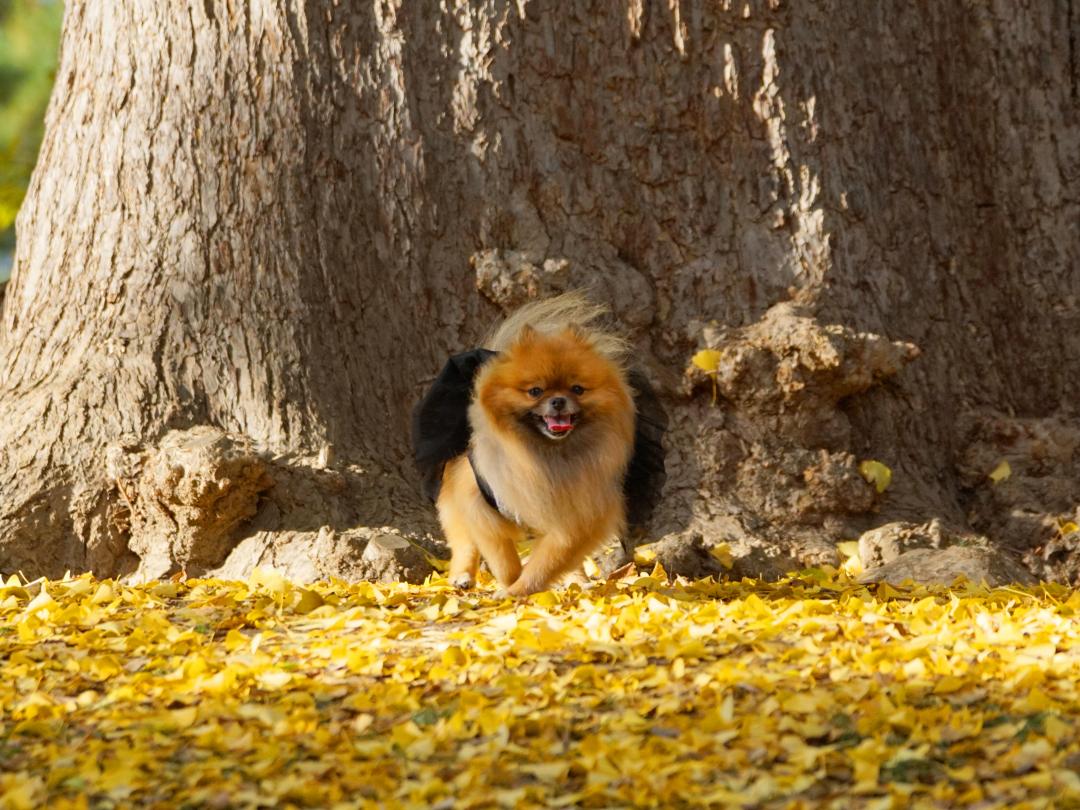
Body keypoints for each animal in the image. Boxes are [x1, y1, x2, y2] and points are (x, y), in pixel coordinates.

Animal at [414, 295, 665, 600]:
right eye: (535, 391)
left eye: (578, 389)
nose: (558, 401)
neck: (540, 456)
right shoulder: (478, 502)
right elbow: (501, 556)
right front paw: (510, 585)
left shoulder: (576, 516)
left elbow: (549, 561)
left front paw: (522, 589)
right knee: (462, 539)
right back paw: (462, 575)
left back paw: (579, 581)